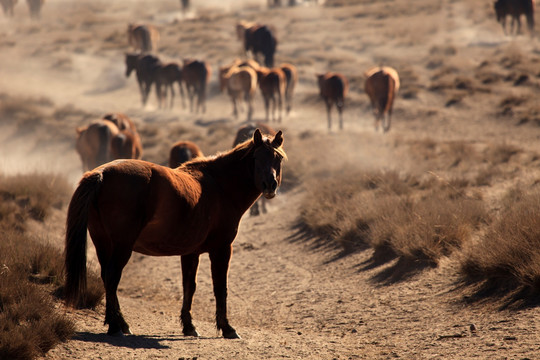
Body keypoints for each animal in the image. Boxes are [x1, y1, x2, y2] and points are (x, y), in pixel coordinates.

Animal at [64, 129, 286, 338]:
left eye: (278, 159)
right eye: (256, 158)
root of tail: (102, 173)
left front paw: (189, 327)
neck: (220, 187)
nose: (270, 185)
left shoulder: (190, 253)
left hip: (102, 242)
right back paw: (115, 327)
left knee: (106, 277)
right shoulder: (221, 249)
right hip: (121, 246)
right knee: (111, 277)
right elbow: (220, 287)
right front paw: (227, 328)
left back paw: (120, 324)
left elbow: (189, 286)